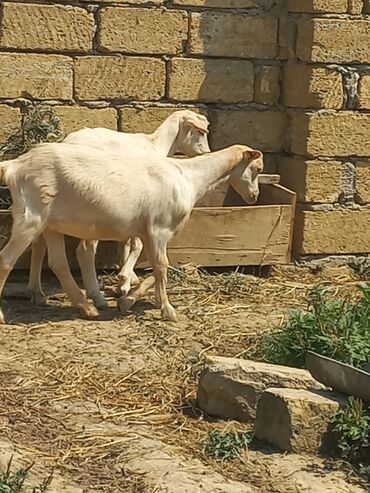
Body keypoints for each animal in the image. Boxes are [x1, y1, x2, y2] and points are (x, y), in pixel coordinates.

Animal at [0, 141, 264, 322]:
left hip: (51, 223)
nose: (255, 196)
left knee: (58, 263)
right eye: (257, 168)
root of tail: (15, 165)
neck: (189, 178)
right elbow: (162, 266)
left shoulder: (148, 232)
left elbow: (156, 268)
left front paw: (141, 299)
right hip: (31, 217)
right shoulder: (158, 229)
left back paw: (87, 307)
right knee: (7, 259)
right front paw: (167, 310)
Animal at [27, 109, 210, 308]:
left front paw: (126, 278)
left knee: (38, 243)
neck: (156, 145)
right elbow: (136, 244)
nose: (207, 152)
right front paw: (125, 278)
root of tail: (67, 141)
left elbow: (125, 243)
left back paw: (36, 292)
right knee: (81, 251)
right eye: (199, 131)